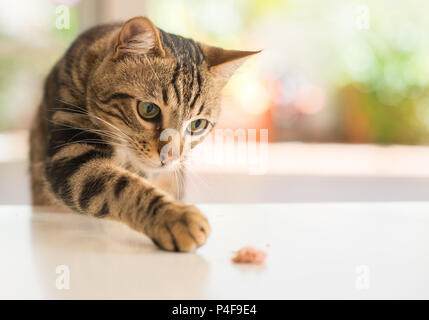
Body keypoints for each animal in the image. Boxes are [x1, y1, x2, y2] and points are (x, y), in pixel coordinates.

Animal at [30, 16, 258, 252]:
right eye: (148, 109)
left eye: (197, 124)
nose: (171, 156)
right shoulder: (71, 152)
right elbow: (121, 186)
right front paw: (175, 216)